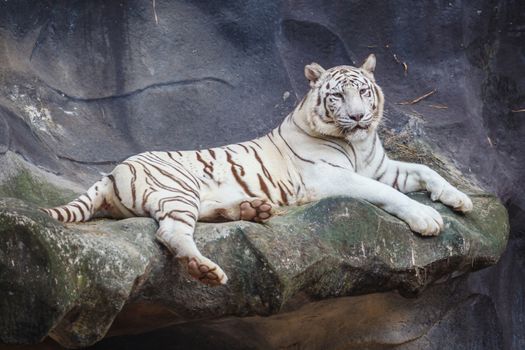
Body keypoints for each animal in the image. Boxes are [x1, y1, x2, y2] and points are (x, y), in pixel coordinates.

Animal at [43, 54, 472, 284]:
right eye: (337, 95)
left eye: (364, 92)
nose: (358, 116)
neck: (359, 143)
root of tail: (112, 171)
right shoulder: (332, 177)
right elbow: (390, 194)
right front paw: (427, 218)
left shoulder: (379, 167)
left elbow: (425, 171)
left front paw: (460, 199)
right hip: (178, 187)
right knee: (171, 232)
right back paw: (206, 269)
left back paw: (254, 209)